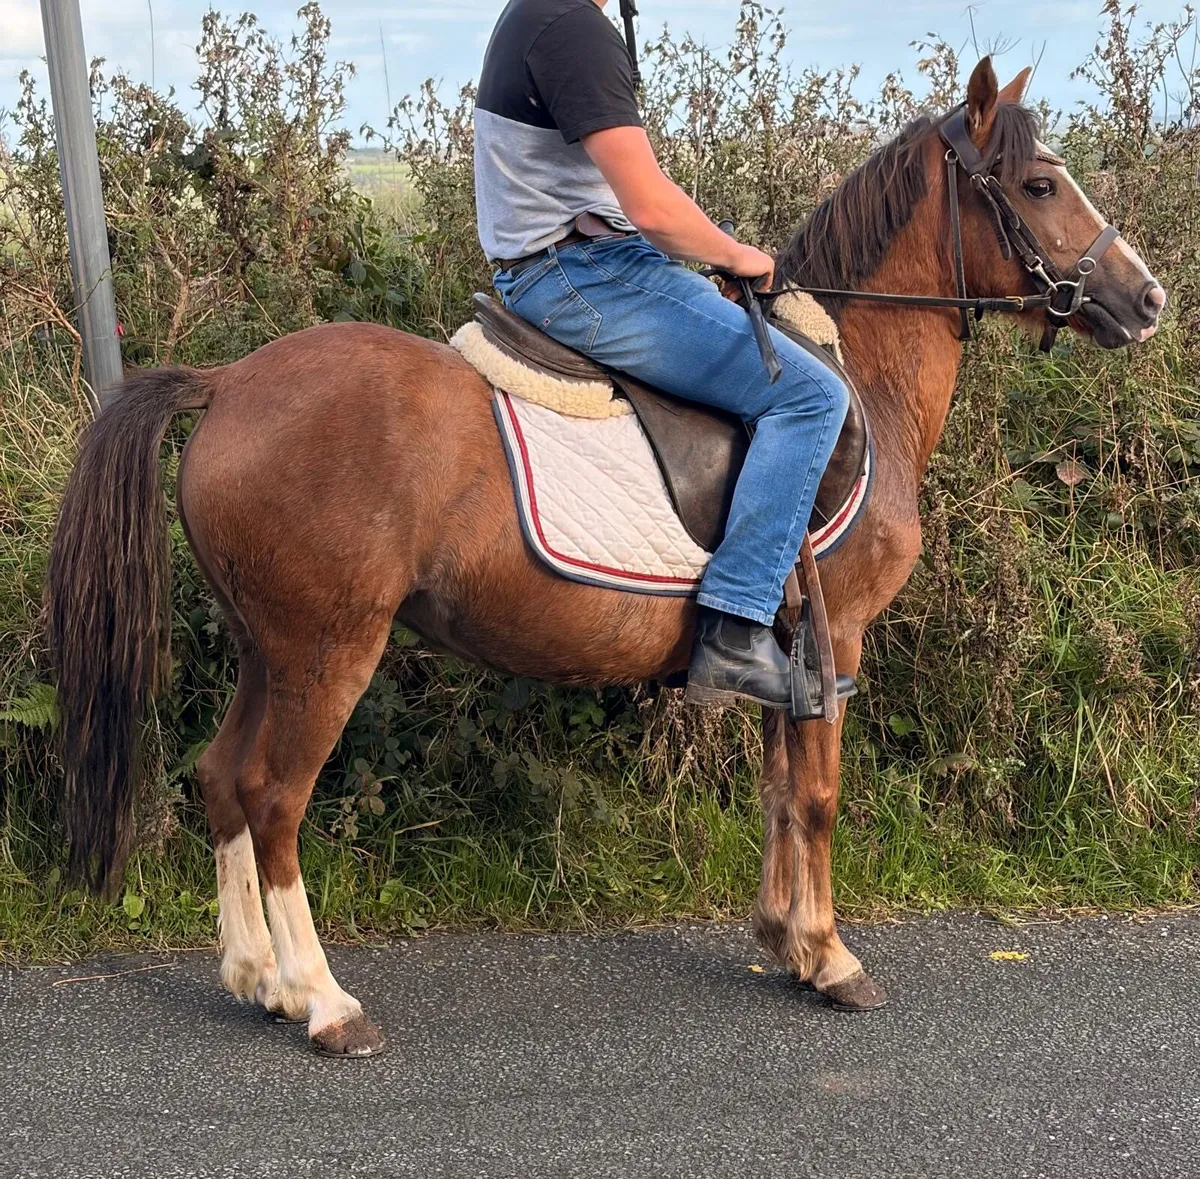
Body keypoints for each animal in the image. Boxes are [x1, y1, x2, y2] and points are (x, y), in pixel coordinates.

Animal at [46, 59, 1165, 1057]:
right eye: (1039, 184)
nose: (1148, 298)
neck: (858, 376)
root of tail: (230, 383)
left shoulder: (793, 655)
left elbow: (776, 791)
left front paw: (785, 942)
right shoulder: (836, 636)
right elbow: (816, 797)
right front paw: (831, 956)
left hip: (267, 647)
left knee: (221, 776)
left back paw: (258, 978)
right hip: (328, 650)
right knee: (275, 796)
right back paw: (322, 1000)